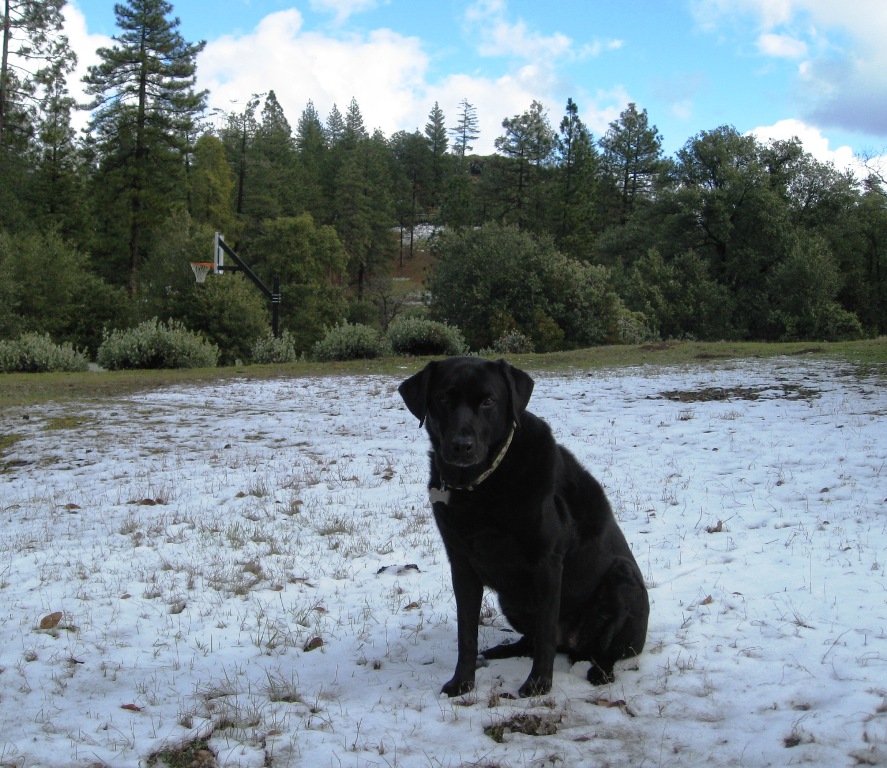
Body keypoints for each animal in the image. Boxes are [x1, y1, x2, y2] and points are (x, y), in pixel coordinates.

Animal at [398, 356, 648, 700]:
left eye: (489, 401)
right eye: (443, 399)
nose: (461, 446)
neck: (482, 485)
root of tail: (574, 645)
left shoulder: (546, 563)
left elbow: (545, 631)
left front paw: (538, 685)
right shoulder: (462, 564)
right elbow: (467, 633)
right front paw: (462, 682)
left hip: (622, 579)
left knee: (605, 650)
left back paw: (600, 671)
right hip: (511, 600)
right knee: (530, 640)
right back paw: (501, 650)